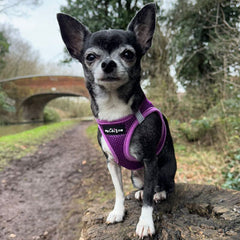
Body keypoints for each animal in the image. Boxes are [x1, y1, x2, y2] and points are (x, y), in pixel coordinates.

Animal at [56, 3, 176, 238]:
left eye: (128, 54)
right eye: (90, 57)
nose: (108, 64)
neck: (114, 108)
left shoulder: (150, 159)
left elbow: (148, 199)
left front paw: (145, 222)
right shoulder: (111, 163)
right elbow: (118, 191)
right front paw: (117, 212)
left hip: (165, 169)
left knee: (162, 186)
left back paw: (160, 193)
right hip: (135, 176)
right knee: (143, 187)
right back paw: (139, 193)